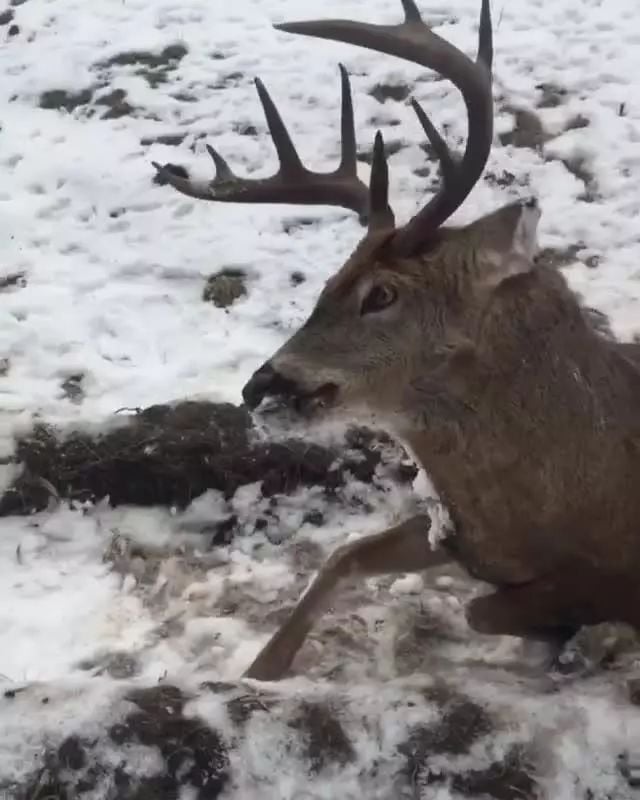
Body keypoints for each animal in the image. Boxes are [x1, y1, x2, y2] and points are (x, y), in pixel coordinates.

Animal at [151, 1, 640, 680]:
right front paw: (261, 671)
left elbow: (488, 608)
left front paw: (578, 639)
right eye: (329, 282)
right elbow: (346, 557)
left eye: (381, 294)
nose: (259, 386)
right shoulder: (457, 536)